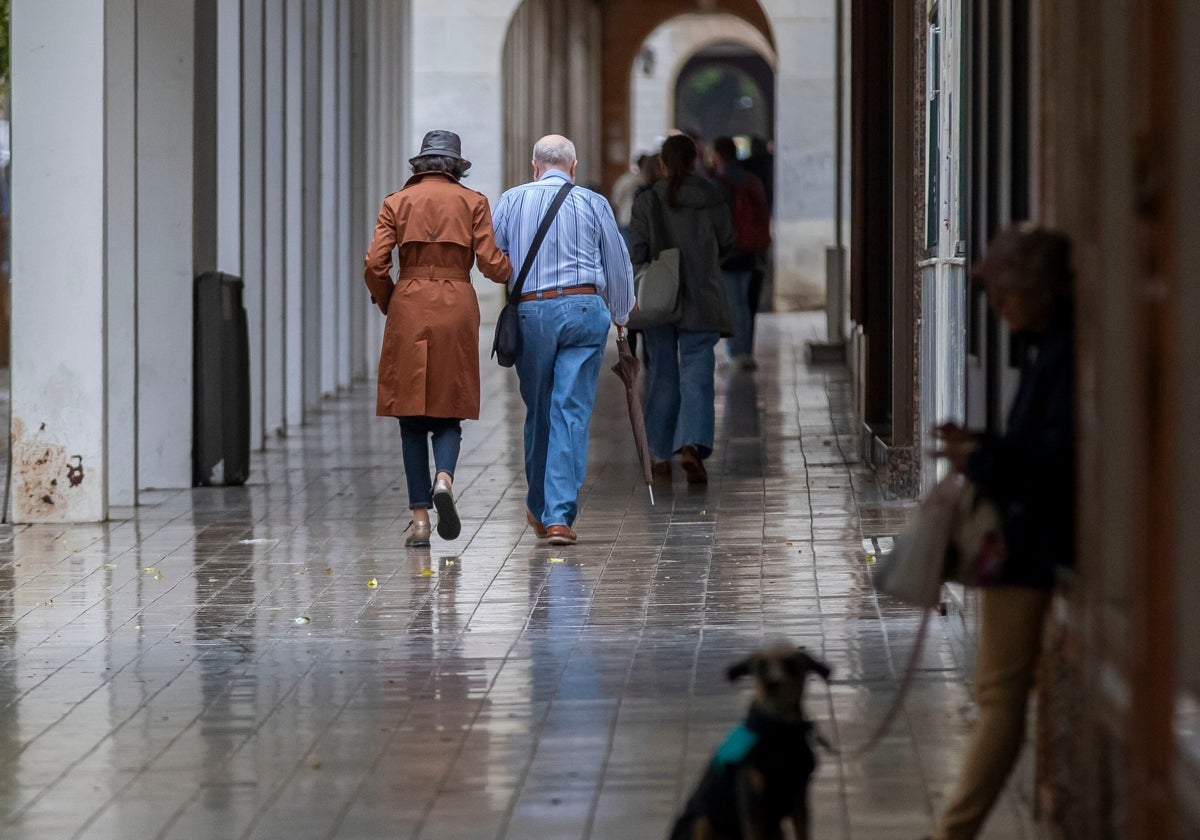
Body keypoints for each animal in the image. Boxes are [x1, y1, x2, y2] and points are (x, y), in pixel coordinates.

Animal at [672, 648, 830, 835]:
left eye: (791, 665)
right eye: (759, 667)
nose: (772, 684)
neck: (780, 733)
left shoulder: (799, 799)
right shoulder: (752, 805)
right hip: (701, 821)